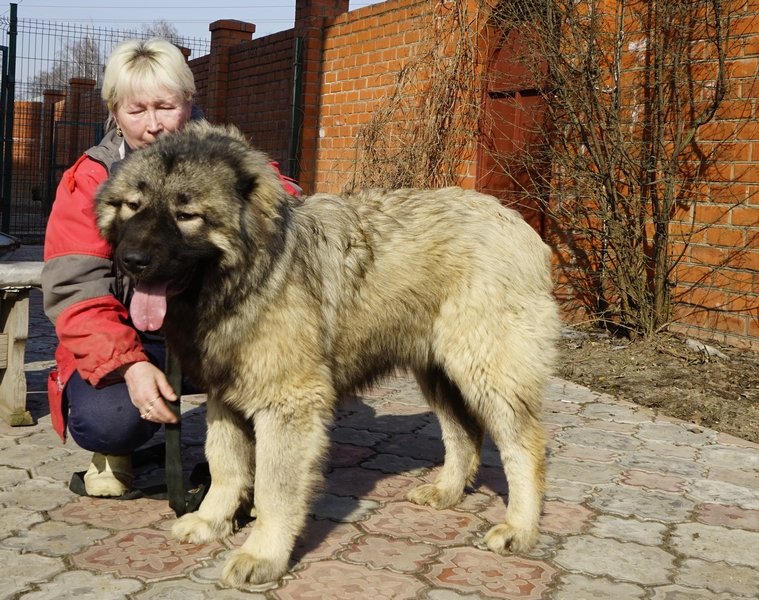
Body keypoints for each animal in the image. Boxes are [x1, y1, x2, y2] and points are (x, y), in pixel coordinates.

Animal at [93, 120, 560, 584]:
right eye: (133, 206)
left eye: (186, 215)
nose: (132, 259)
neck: (251, 277)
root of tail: (517, 223)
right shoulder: (224, 397)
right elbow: (225, 465)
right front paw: (212, 521)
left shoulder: (288, 403)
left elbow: (274, 487)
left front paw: (262, 553)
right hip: (438, 372)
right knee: (464, 433)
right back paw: (447, 491)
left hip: (486, 368)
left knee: (524, 446)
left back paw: (519, 527)